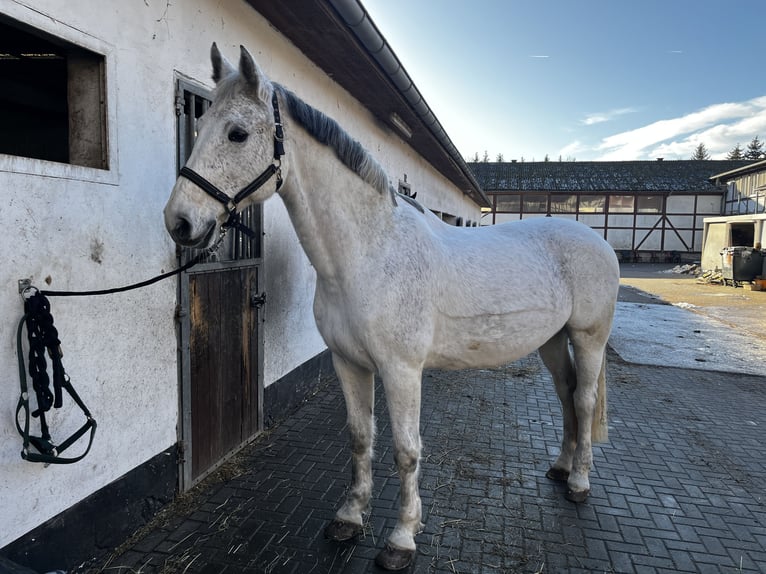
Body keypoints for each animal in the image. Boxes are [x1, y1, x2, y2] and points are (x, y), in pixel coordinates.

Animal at [164, 44, 620, 571]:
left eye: (236, 133)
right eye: (200, 123)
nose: (179, 222)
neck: (370, 252)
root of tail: (598, 242)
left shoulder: (401, 370)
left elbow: (405, 450)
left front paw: (402, 538)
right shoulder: (349, 363)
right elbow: (361, 438)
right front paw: (348, 518)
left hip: (588, 337)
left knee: (583, 400)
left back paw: (580, 482)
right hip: (551, 340)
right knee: (566, 395)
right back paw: (561, 468)